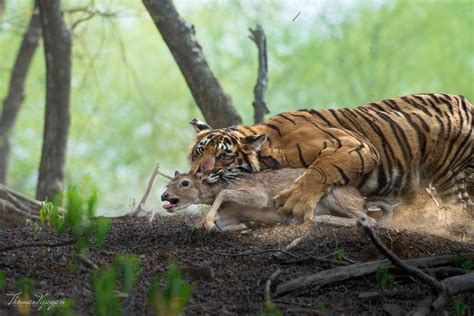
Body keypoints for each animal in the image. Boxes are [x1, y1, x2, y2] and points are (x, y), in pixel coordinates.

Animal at [160, 168, 396, 232]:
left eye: (184, 183)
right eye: (169, 182)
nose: (164, 196)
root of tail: (362, 198)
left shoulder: (259, 196)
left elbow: (222, 193)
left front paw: (207, 222)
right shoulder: (231, 214)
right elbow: (222, 223)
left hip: (336, 197)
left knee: (368, 220)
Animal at [189, 93, 474, 222]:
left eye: (224, 156)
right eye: (199, 152)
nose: (197, 174)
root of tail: (465, 100)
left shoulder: (354, 145)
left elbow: (320, 170)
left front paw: (296, 202)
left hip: (450, 176)